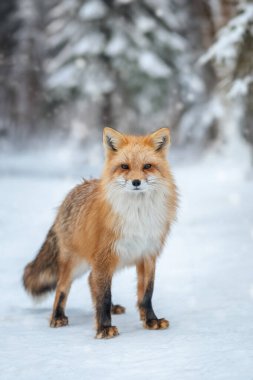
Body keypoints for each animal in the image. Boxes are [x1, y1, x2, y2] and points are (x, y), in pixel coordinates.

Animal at [23, 127, 178, 338]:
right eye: (124, 166)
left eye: (147, 166)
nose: (136, 182)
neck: (138, 215)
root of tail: (69, 196)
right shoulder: (105, 255)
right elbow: (104, 295)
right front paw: (104, 328)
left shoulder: (147, 254)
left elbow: (146, 294)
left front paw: (151, 320)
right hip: (77, 262)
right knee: (62, 287)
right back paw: (57, 317)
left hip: (113, 260)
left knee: (90, 280)